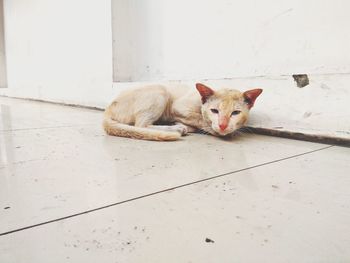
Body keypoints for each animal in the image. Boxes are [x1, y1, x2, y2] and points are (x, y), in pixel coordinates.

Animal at [103, 84, 262, 142]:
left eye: (235, 113)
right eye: (214, 111)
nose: (223, 125)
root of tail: (107, 109)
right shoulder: (178, 107)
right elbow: (201, 119)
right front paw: (213, 129)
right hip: (161, 90)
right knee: (141, 125)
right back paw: (177, 128)